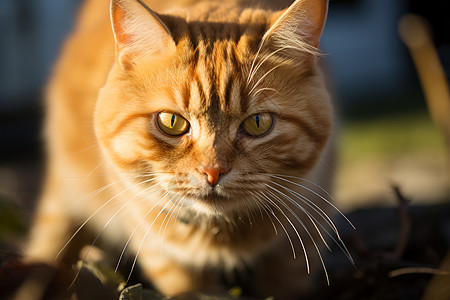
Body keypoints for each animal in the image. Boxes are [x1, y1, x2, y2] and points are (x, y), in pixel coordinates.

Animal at [23, 0, 344, 298]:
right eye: (172, 121)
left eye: (258, 122)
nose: (213, 172)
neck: (221, 233)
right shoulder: (162, 252)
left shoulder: (302, 242)